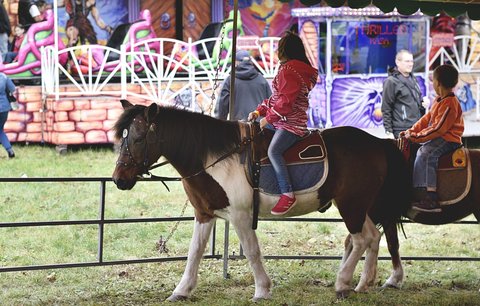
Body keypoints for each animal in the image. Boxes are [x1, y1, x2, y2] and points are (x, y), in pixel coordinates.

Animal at [112, 100, 416, 298]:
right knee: (372, 237)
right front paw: (182, 290)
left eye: (138, 138)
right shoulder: (205, 213)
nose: (118, 179)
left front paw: (262, 289)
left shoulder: (240, 216)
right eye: (122, 137)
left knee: (362, 239)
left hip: (351, 205)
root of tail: (377, 142)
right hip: (360, 206)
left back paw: (342, 283)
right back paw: (363, 283)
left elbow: (252, 251)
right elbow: (194, 252)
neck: (215, 157)